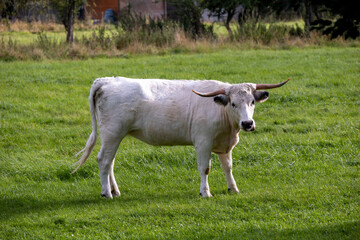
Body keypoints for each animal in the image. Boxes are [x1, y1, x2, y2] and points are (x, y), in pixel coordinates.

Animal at [73, 76, 290, 198]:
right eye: (233, 103)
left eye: (252, 101)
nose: (247, 123)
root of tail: (106, 80)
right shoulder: (203, 142)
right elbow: (205, 168)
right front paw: (205, 192)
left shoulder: (224, 144)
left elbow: (228, 167)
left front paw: (233, 189)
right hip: (112, 133)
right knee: (103, 160)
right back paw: (106, 193)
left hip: (114, 136)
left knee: (109, 162)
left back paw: (115, 191)